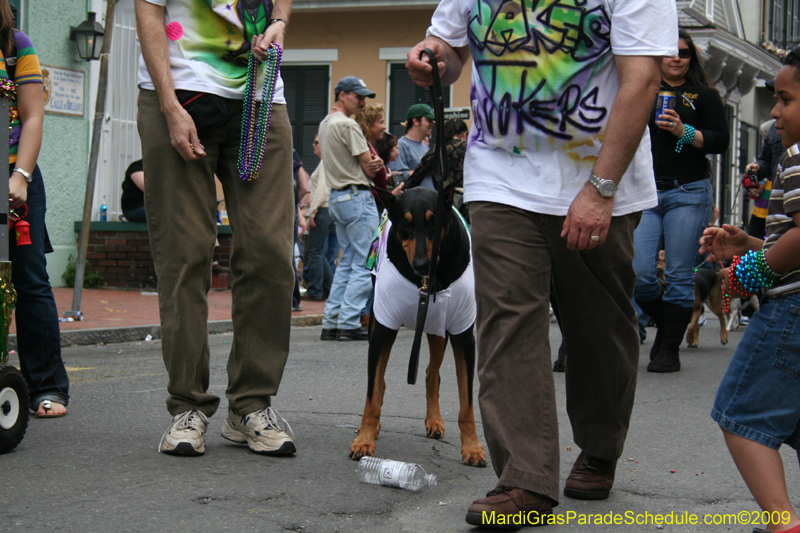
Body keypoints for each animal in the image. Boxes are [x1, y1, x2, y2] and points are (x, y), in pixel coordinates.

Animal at [350, 187, 488, 466]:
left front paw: (472, 447)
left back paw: (434, 420)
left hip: (438, 325)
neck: (427, 280)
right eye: (405, 224)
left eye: (434, 222)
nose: (422, 264)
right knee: (380, 382)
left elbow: (467, 401)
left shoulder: (463, 333)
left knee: (431, 373)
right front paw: (364, 440)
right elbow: (373, 391)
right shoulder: (382, 327)